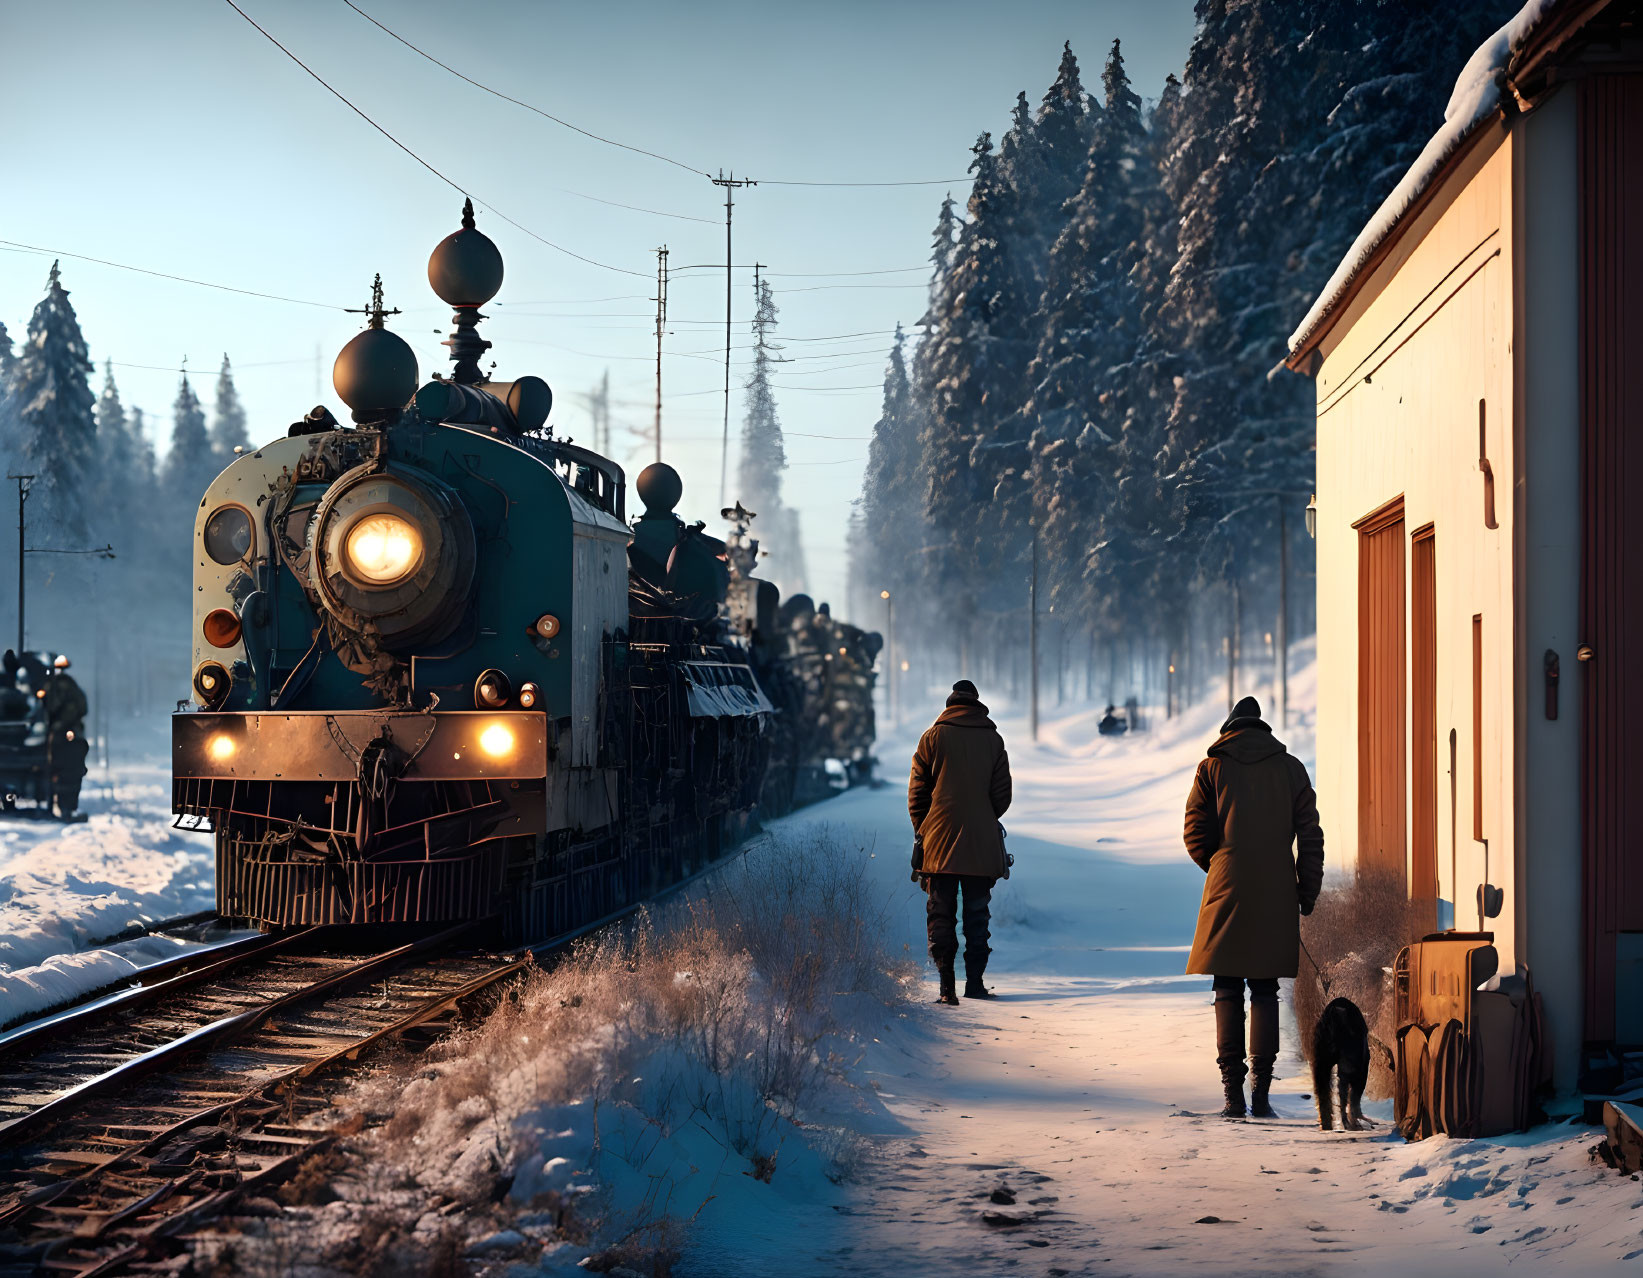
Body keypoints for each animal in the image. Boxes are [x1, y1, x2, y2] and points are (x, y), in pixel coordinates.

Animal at [1314, 992, 1366, 1130]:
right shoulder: (1358, 1069)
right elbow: (1353, 1099)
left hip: (1322, 1062)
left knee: (1323, 1091)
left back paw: (1327, 1125)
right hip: (1349, 1068)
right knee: (1347, 1096)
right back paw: (1349, 1124)